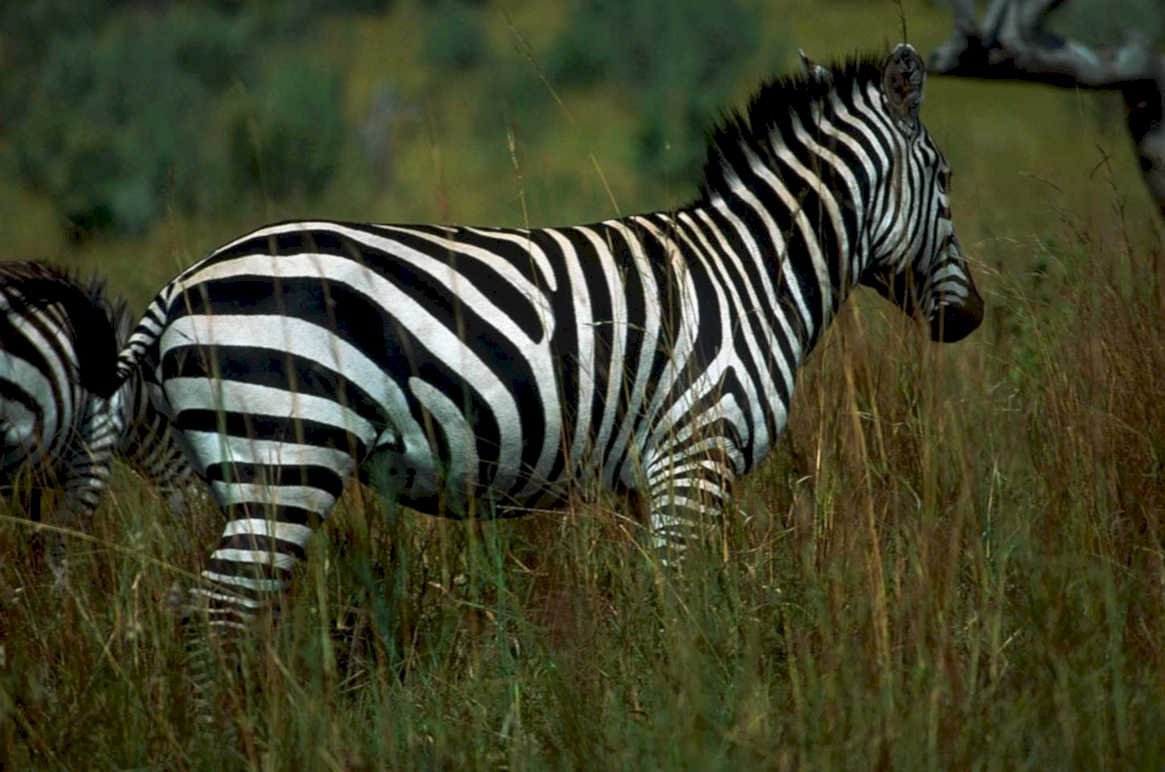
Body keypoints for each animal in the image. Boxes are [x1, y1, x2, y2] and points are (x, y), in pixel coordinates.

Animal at [0, 261, 198, 582]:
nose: (201, 536)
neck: (130, 393)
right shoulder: (95, 446)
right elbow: (61, 542)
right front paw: (63, 595)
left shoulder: (29, 478)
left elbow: (34, 537)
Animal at [116, 44, 982, 634]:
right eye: (943, 179)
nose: (969, 319)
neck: (750, 271)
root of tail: (181, 280)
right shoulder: (694, 455)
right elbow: (690, 609)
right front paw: (694, 705)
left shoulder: (644, 478)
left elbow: (650, 606)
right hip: (286, 459)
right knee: (216, 612)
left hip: (231, 473)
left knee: (197, 604)